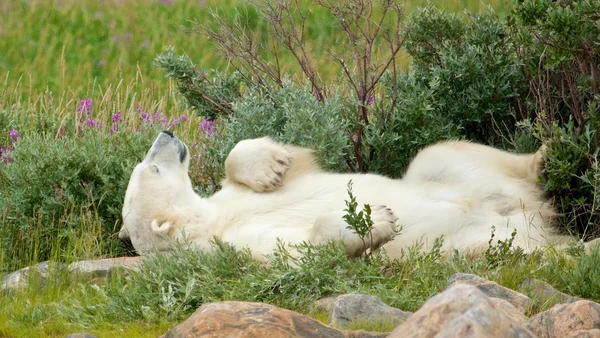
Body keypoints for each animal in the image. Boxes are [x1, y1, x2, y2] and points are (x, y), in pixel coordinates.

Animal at [119, 131, 576, 260]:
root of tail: (532, 215)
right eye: (151, 168)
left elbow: (250, 164)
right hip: (475, 242)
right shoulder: (236, 249)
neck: (210, 223)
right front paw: (381, 220)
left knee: (439, 155)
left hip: (454, 177)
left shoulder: (228, 200)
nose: (167, 132)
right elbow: (300, 251)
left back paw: (545, 152)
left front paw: (272, 166)